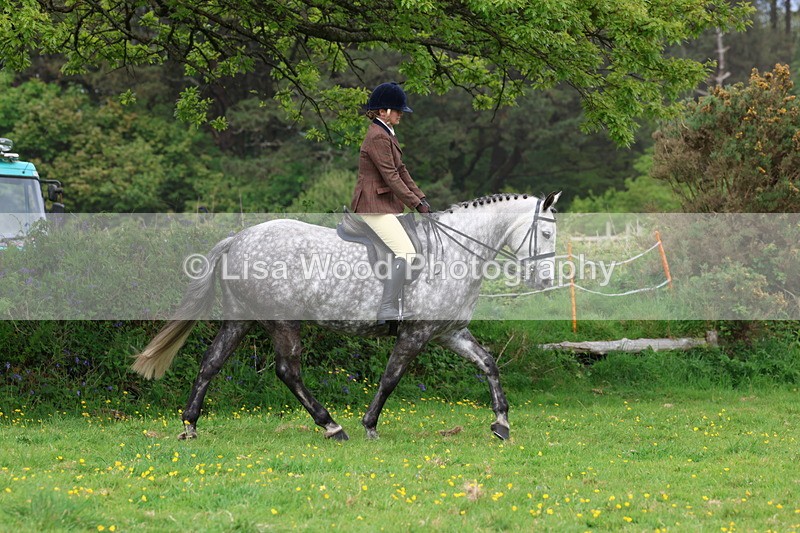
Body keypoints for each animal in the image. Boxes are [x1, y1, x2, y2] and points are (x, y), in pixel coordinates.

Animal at [132, 191, 561, 441]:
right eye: (547, 234)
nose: (545, 280)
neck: (454, 252)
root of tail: (239, 238)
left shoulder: (448, 332)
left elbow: (489, 364)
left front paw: (501, 424)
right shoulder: (416, 334)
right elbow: (390, 378)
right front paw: (369, 424)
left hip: (241, 318)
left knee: (211, 362)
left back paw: (190, 425)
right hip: (282, 321)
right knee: (288, 371)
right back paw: (331, 425)